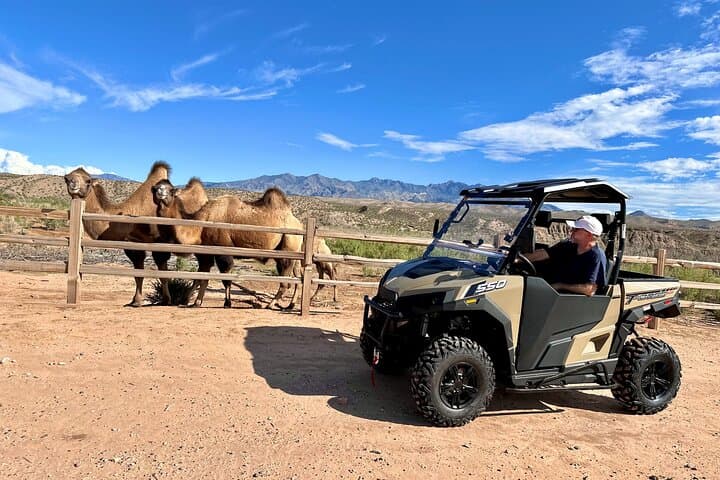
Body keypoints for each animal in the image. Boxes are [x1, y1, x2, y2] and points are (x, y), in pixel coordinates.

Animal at [64, 162, 172, 306]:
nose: (73, 182)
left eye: (88, 181)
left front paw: (166, 300)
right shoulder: (131, 244)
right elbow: (138, 274)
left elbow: (162, 274)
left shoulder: (158, 243)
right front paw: (135, 300)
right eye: (66, 178)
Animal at [152, 179, 303, 309]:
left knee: (285, 282)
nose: (159, 190)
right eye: (156, 187)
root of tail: (300, 225)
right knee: (297, 277)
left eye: (171, 190)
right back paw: (290, 305)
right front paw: (192, 301)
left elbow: (225, 279)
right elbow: (201, 278)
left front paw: (227, 303)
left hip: (288, 248)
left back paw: (270, 305)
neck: (202, 223)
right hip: (291, 253)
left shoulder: (223, 250)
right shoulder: (205, 253)